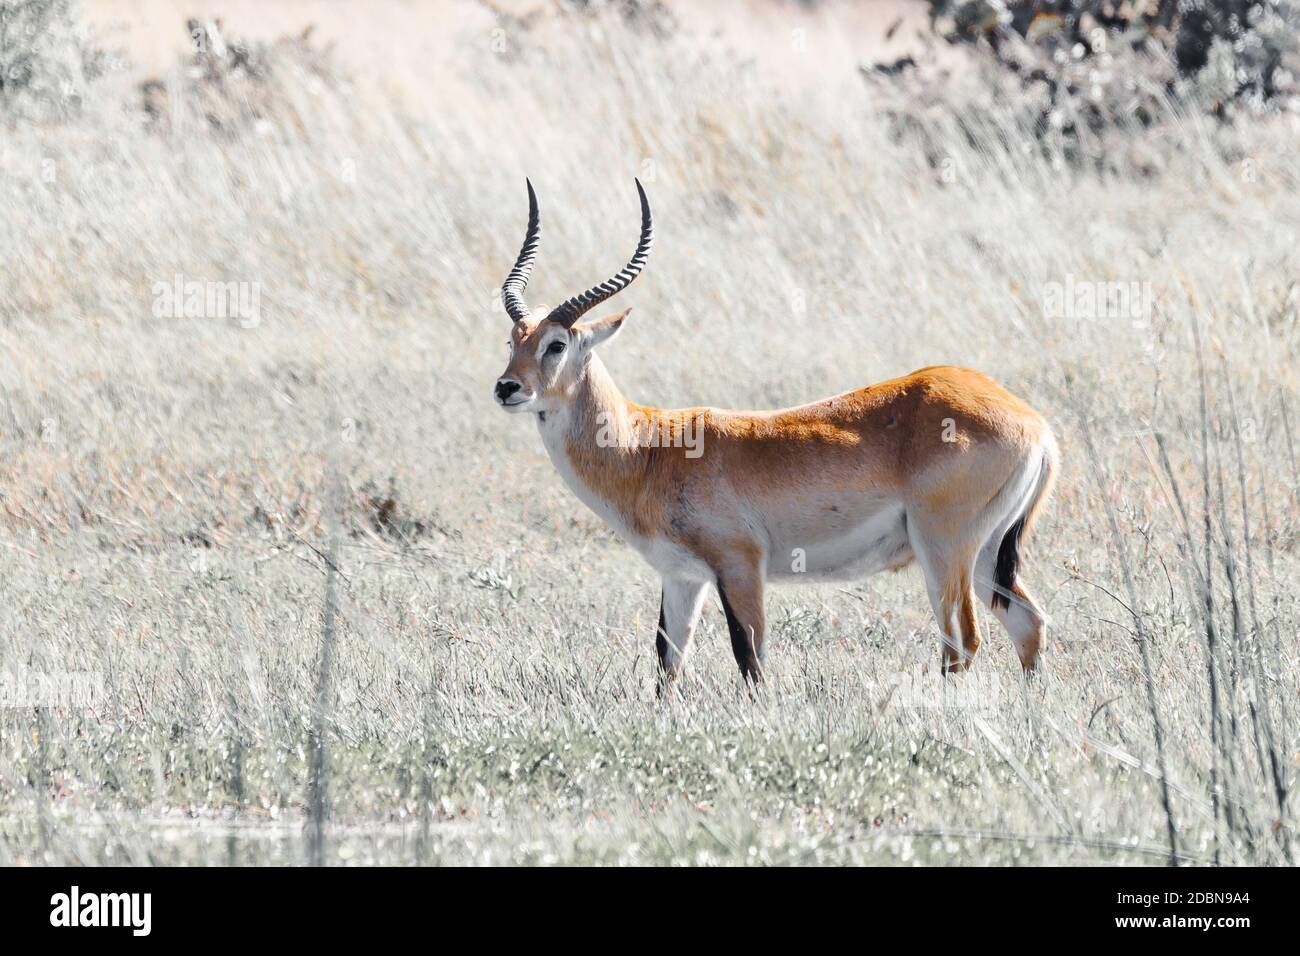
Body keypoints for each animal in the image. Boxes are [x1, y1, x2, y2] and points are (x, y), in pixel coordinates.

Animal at [493, 179, 1055, 686]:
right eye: (514, 339)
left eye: (557, 344)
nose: (506, 387)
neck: (650, 446)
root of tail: (1033, 421)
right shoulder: (680, 576)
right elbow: (667, 663)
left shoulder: (740, 566)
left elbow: (750, 659)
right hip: (986, 554)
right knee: (1027, 623)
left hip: (943, 548)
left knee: (962, 640)